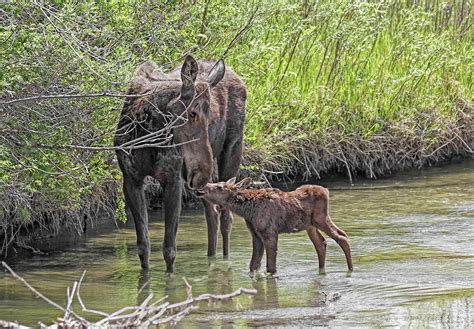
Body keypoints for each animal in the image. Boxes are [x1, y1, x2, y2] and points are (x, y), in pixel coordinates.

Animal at [115, 55, 246, 270]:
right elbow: (143, 247)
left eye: (211, 117)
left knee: (226, 217)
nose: (201, 172)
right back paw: (210, 257)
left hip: (232, 149)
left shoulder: (173, 179)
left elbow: (169, 249)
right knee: (212, 214)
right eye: (192, 113)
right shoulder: (131, 178)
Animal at [195, 178, 352, 272]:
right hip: (310, 226)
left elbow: (270, 267)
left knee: (341, 236)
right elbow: (254, 265)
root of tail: (326, 190)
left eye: (220, 187)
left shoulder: (269, 232)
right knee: (322, 243)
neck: (247, 210)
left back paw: (350, 269)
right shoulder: (255, 234)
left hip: (320, 219)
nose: (200, 189)